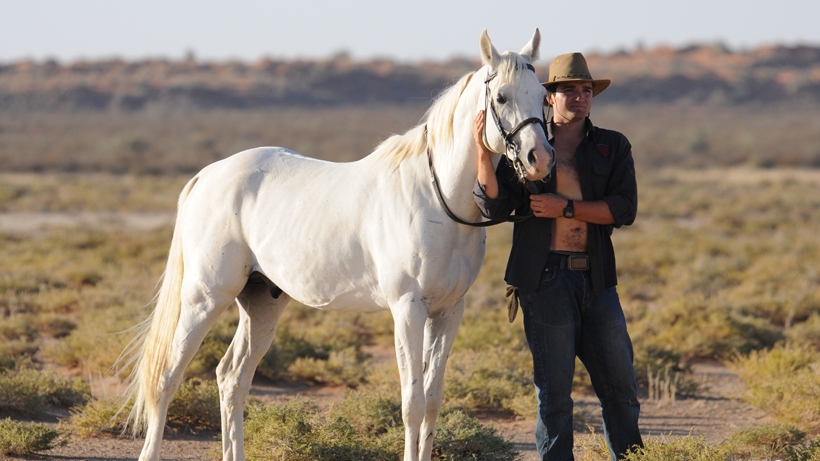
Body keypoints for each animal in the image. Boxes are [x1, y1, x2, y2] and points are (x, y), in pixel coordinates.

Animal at [125, 29, 556, 460]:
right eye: (501, 97)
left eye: (542, 95)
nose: (540, 159)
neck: (436, 197)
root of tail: (208, 175)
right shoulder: (408, 310)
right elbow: (413, 405)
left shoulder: (449, 313)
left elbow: (433, 403)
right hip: (205, 298)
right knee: (167, 375)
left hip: (261, 302)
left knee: (232, 377)